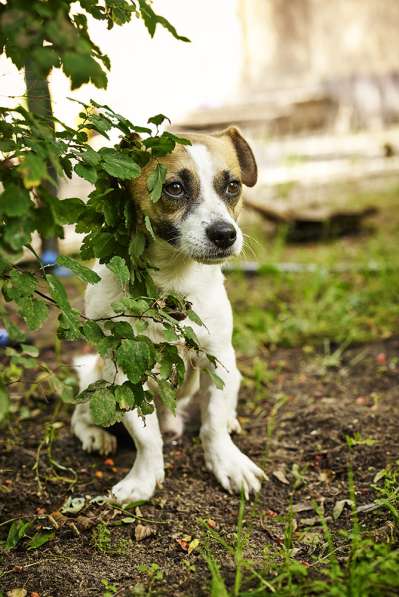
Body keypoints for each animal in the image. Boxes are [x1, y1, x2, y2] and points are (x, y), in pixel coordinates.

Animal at [72, 127, 266, 502]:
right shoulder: (123, 373)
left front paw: (227, 463)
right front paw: (144, 479)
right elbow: (146, 438)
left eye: (232, 186)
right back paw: (95, 436)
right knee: (80, 414)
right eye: (174, 187)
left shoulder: (218, 359)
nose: (225, 234)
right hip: (95, 379)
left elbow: (212, 424)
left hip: (234, 373)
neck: (171, 285)